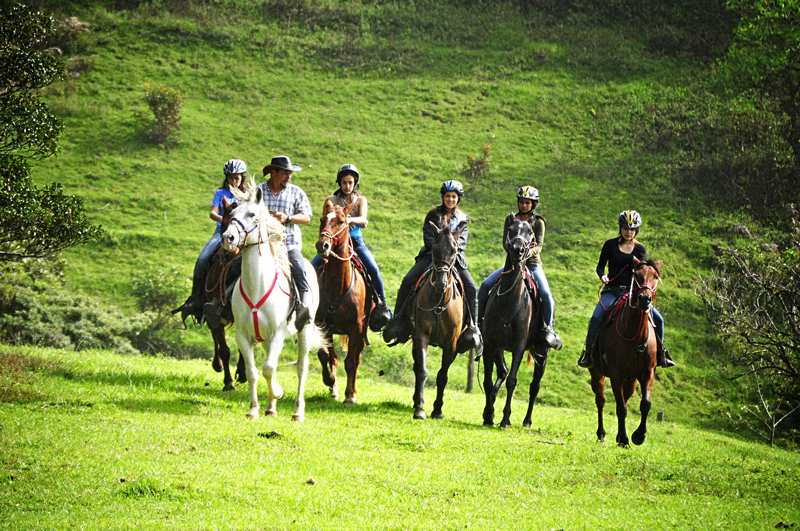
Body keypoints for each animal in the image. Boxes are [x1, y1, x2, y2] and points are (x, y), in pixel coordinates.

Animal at [220, 189, 324, 422]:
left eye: (252, 215)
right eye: (232, 214)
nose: (228, 238)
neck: (257, 286)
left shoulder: (278, 333)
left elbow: (268, 368)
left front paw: (278, 392)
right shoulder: (243, 336)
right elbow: (253, 372)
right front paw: (254, 409)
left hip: (304, 330)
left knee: (301, 368)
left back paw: (297, 412)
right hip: (267, 339)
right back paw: (270, 408)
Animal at [316, 202, 372, 406]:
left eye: (341, 221)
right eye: (322, 219)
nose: (322, 245)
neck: (337, 286)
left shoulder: (356, 329)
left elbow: (351, 362)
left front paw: (350, 395)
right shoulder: (323, 326)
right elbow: (326, 355)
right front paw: (330, 381)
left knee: (356, 358)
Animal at [410, 218, 466, 422]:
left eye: (454, 250)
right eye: (434, 249)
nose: (441, 283)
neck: (439, 303)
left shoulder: (451, 344)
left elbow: (443, 375)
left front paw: (437, 410)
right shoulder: (421, 337)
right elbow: (422, 370)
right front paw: (419, 408)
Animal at [482, 218, 552, 430]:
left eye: (530, 233)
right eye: (511, 230)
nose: (518, 249)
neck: (508, 302)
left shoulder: (519, 348)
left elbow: (512, 381)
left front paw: (505, 419)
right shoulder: (490, 345)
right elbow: (488, 381)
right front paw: (488, 415)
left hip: (542, 354)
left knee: (534, 386)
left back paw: (527, 421)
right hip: (499, 349)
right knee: (502, 372)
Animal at [588, 260, 664, 446]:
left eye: (655, 276)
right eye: (637, 275)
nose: (645, 299)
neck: (634, 335)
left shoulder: (647, 372)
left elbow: (645, 403)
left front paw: (639, 436)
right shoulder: (616, 375)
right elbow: (620, 408)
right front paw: (624, 439)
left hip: (631, 379)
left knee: (626, 396)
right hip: (597, 372)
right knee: (601, 400)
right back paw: (601, 434)